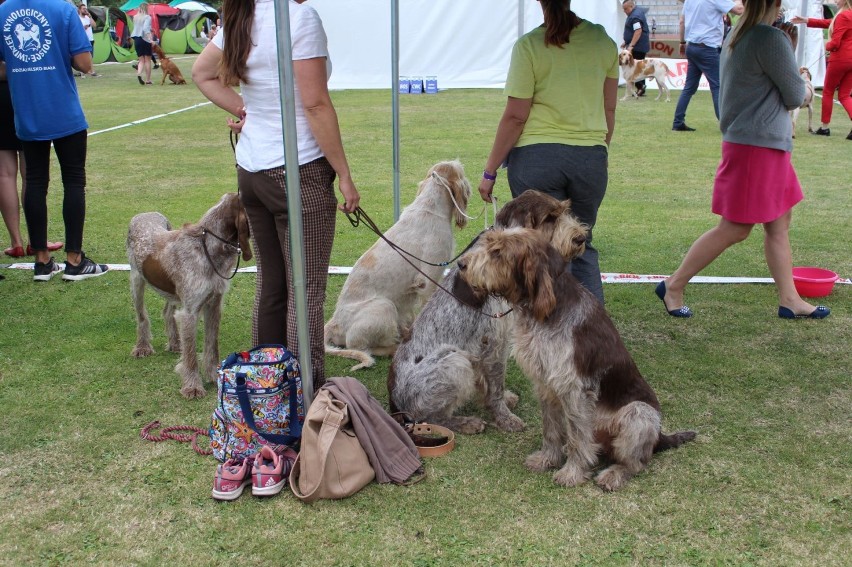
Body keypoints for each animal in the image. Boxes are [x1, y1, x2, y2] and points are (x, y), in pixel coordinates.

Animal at [126, 195, 251, 400]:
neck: (207, 247)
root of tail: (144, 213)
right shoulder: (190, 312)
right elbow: (191, 355)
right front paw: (192, 387)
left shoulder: (214, 306)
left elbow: (212, 346)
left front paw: (213, 376)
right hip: (137, 281)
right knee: (142, 316)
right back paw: (142, 347)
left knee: (167, 311)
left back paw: (175, 342)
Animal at [390, 191, 588, 434]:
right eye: (550, 218)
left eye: (565, 211)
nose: (580, 238)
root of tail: (395, 406)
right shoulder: (494, 342)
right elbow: (496, 385)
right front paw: (504, 417)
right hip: (454, 362)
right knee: (428, 419)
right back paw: (464, 422)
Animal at [456, 229, 696, 490]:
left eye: (498, 252)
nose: (460, 264)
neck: (546, 309)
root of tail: (660, 436)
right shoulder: (545, 382)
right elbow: (551, 428)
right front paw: (547, 459)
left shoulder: (575, 389)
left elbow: (578, 437)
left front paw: (572, 472)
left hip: (639, 413)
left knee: (637, 462)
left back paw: (614, 474)